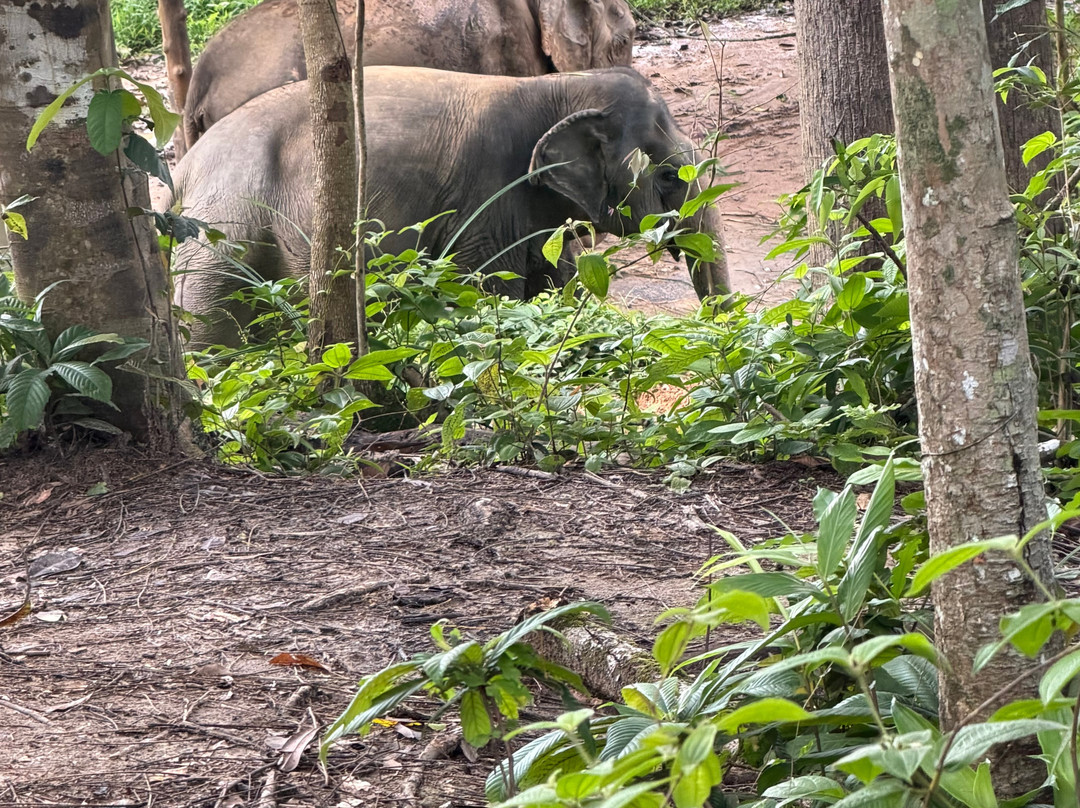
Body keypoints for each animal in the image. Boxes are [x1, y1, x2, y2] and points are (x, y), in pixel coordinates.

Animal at [168, 66, 729, 346]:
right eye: (666, 177)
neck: (562, 85)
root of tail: (182, 169)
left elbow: (552, 282)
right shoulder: (486, 196)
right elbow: (488, 287)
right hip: (225, 227)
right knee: (211, 324)